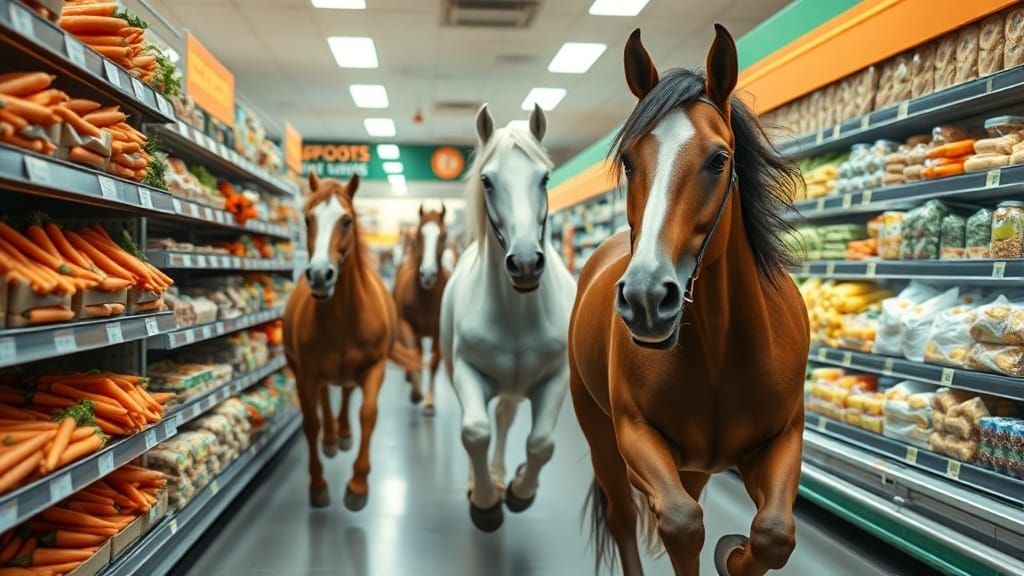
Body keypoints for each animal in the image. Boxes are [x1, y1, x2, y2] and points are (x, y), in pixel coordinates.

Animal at [283, 172, 421, 511]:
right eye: (307, 219)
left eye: (346, 220)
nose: (320, 275)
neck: (343, 316)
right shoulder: (305, 373)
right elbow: (311, 422)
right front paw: (318, 485)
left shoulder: (376, 367)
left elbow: (367, 415)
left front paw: (358, 485)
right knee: (326, 397)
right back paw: (332, 439)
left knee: (345, 394)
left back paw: (343, 435)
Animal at [393, 204, 449, 415]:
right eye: (419, 234)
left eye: (444, 235)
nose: (428, 275)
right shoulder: (408, 325)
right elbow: (414, 353)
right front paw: (416, 393)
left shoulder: (439, 332)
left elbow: (433, 363)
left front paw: (429, 402)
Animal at [440, 104, 576, 532]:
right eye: (487, 180)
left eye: (545, 177)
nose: (526, 263)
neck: (518, 312)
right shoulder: (467, 371)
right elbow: (474, 432)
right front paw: (485, 502)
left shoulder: (555, 377)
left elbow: (541, 443)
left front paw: (519, 490)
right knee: (484, 424)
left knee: (504, 420)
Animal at [569, 26, 808, 576]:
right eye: (629, 161)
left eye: (719, 159)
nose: (645, 296)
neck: (720, 348)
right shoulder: (635, 436)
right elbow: (681, 522)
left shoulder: (784, 438)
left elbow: (773, 533)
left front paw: (734, 554)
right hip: (599, 434)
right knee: (623, 518)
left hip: (696, 463)